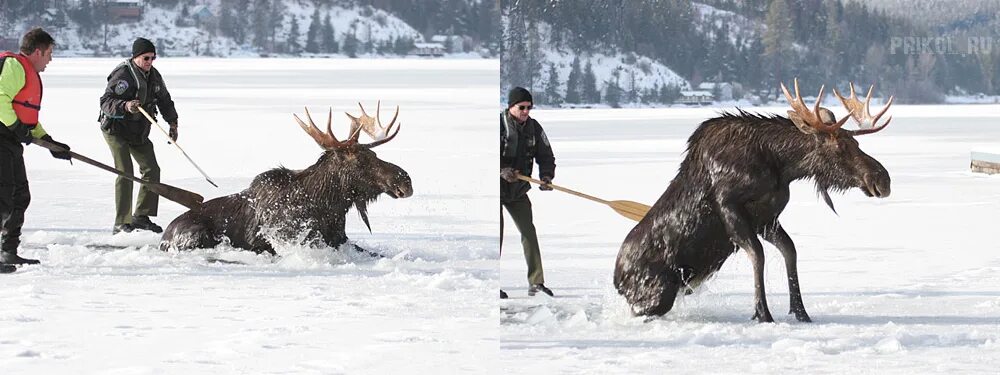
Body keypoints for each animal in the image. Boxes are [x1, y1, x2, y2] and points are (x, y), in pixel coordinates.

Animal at [162, 103, 412, 256]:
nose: (405, 181)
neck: (327, 206)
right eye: (360, 160)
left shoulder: (341, 238)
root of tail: (164, 237)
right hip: (196, 234)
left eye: (374, 155)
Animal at [612, 81, 896, 322]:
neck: (780, 165)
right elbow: (758, 255)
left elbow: (790, 251)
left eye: (856, 141)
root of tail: (617, 279)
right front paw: (763, 313)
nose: (883, 179)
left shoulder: (767, 217)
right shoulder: (728, 205)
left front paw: (800, 312)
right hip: (657, 294)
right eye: (840, 147)